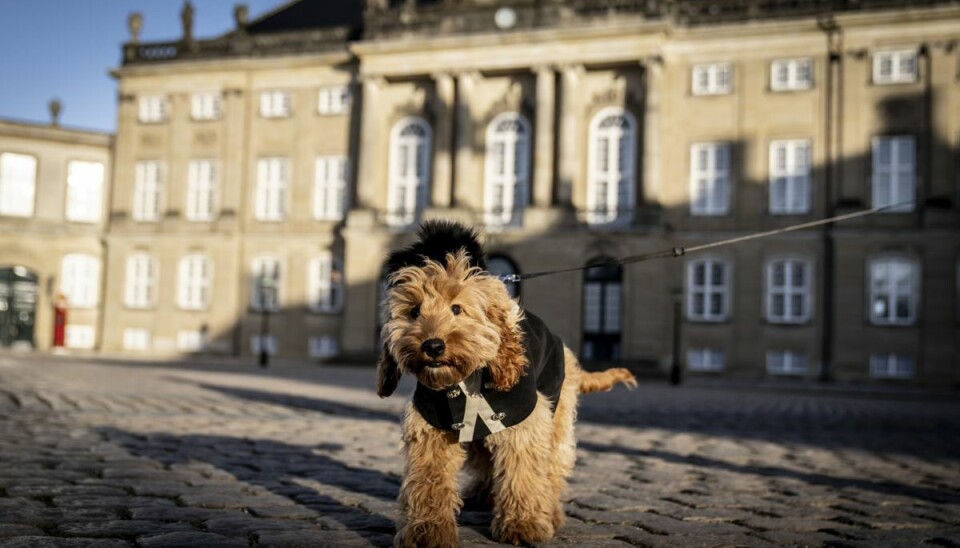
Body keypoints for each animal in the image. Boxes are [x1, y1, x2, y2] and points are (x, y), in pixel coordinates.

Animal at [376, 220, 636, 544]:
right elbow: (428, 481)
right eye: (414, 311)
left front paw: (523, 523)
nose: (433, 346)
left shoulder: (523, 424)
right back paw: (482, 496)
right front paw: (427, 530)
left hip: (557, 417)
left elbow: (522, 473)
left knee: (551, 468)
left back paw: (550, 512)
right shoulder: (431, 430)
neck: (466, 381)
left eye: (457, 308)